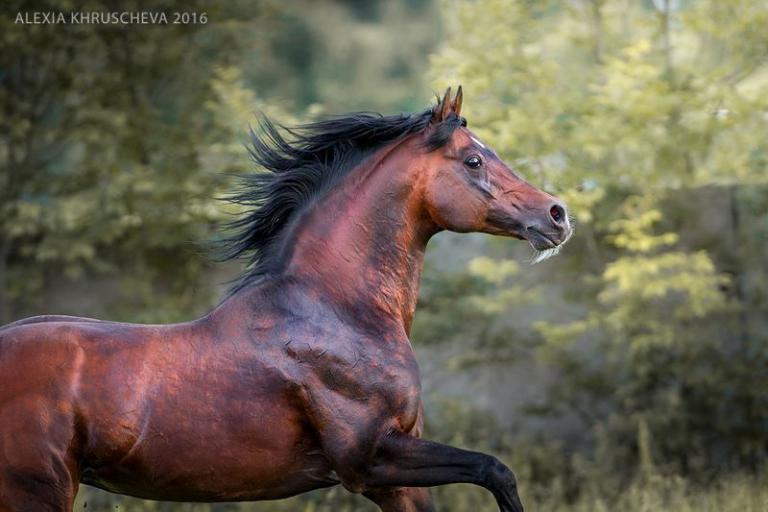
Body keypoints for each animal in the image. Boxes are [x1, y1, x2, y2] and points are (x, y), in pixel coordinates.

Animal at [0, 87, 571, 512]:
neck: (338, 313)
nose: (557, 215)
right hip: (38, 490)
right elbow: (496, 469)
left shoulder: (395, 480)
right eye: (474, 159)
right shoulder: (369, 460)